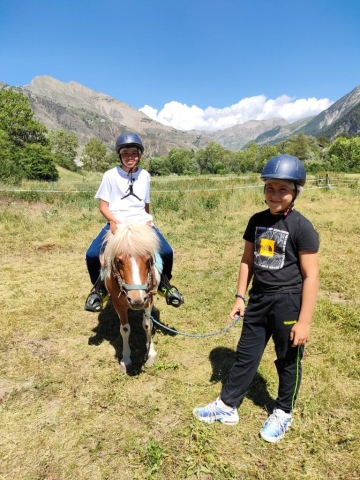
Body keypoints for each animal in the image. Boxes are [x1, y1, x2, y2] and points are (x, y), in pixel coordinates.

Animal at [100, 223, 161, 374]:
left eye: (148, 260)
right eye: (119, 261)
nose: (136, 300)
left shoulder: (148, 300)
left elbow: (148, 325)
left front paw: (151, 353)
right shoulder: (119, 304)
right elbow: (125, 329)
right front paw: (126, 358)